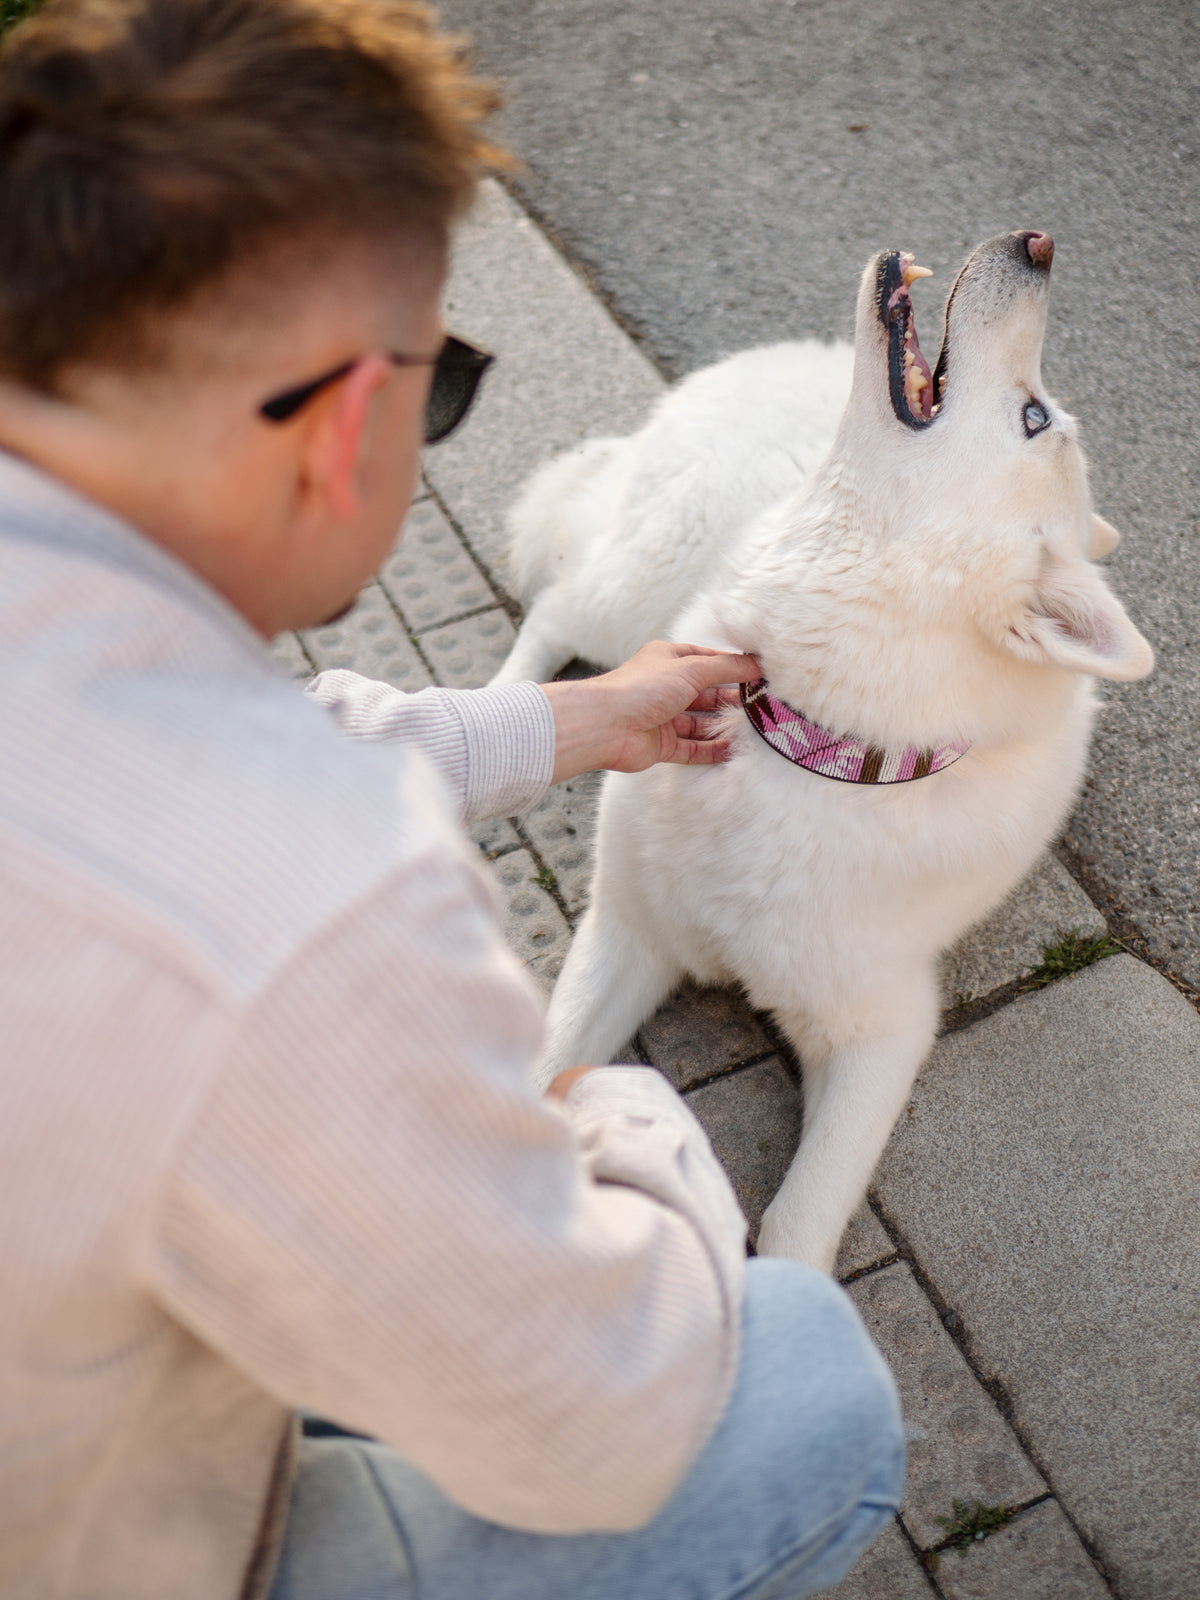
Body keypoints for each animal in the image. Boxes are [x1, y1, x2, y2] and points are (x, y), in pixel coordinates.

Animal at [489, 232, 1158, 1267]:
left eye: (1033, 416)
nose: (1037, 243)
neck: (820, 745)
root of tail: (799, 352)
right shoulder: (626, 929)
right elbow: (548, 1069)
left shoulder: (882, 1036)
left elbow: (799, 1222)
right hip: (642, 588)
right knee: (559, 615)